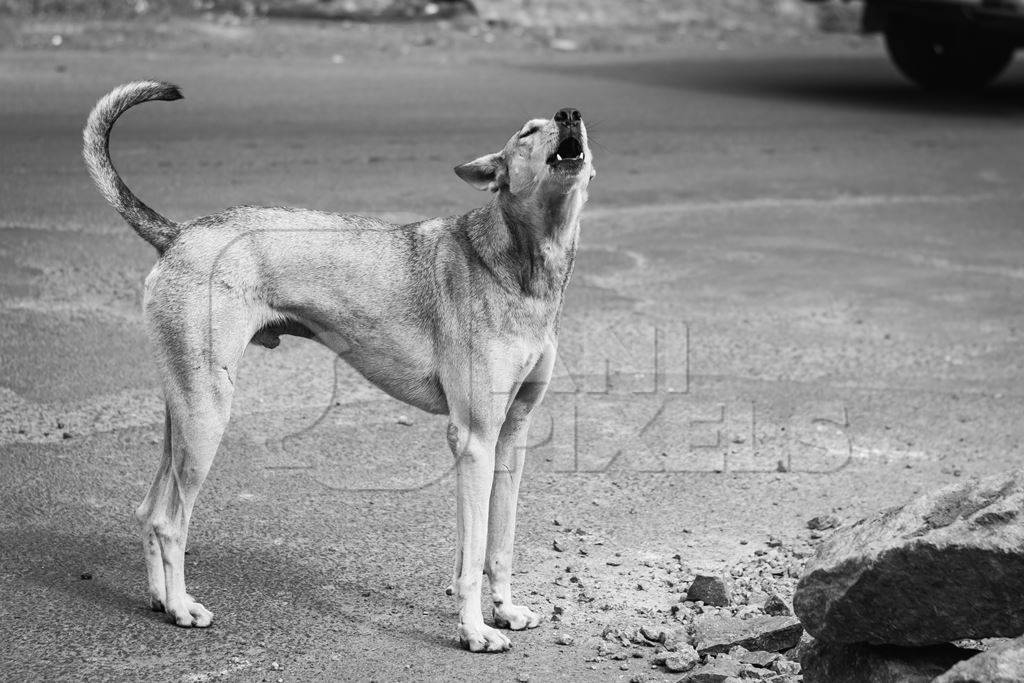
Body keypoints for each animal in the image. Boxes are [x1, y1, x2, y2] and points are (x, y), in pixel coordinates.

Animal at [84, 82, 598, 655]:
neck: (519, 262)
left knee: (148, 511)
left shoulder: (509, 439)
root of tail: (179, 233)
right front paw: (473, 632)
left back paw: (159, 600)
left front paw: (504, 612)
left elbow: (497, 544)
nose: (571, 113)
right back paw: (180, 607)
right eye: (527, 132)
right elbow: (469, 560)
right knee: (170, 521)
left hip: (183, 413)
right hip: (206, 418)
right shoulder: (473, 440)